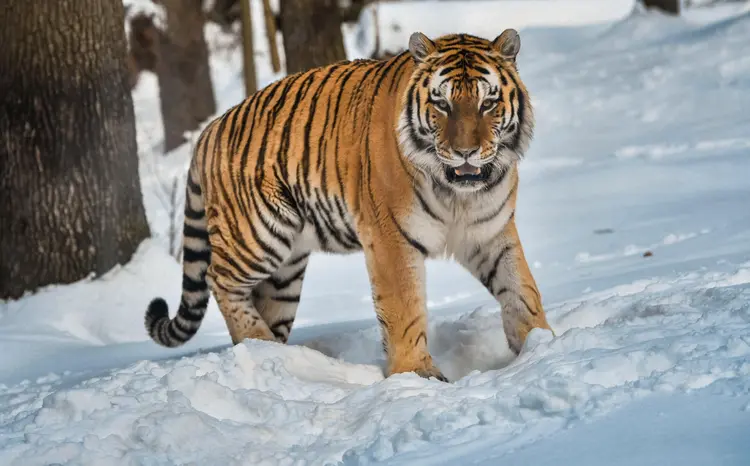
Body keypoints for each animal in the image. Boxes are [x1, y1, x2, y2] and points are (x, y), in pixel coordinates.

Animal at [147, 29, 556, 380]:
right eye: (442, 103)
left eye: (488, 103)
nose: (465, 152)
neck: (460, 195)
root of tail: (210, 129)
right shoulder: (391, 238)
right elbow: (404, 308)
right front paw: (416, 373)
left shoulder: (491, 233)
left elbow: (522, 290)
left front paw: (541, 345)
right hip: (259, 233)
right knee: (217, 277)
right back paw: (256, 339)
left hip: (286, 271)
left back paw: (269, 354)